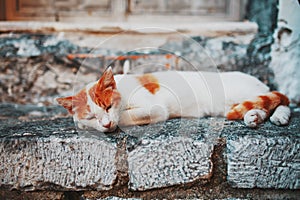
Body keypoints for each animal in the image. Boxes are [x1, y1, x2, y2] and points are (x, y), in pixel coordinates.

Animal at [56, 67, 290, 133]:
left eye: (108, 106)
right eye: (90, 117)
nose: (105, 124)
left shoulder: (155, 108)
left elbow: (123, 117)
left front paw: (115, 122)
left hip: (239, 93)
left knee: (283, 102)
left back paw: (280, 116)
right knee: (263, 106)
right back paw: (254, 117)